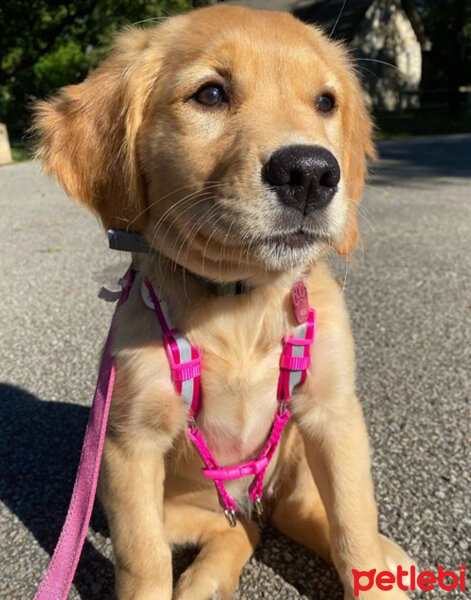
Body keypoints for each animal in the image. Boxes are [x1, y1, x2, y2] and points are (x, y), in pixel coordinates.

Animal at [34, 4, 416, 600]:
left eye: (325, 102)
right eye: (211, 94)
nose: (311, 173)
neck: (240, 303)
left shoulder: (335, 415)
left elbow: (354, 528)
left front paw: (374, 570)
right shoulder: (128, 447)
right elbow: (143, 562)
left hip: (299, 470)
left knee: (309, 518)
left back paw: (388, 557)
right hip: (184, 509)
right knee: (239, 531)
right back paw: (203, 580)